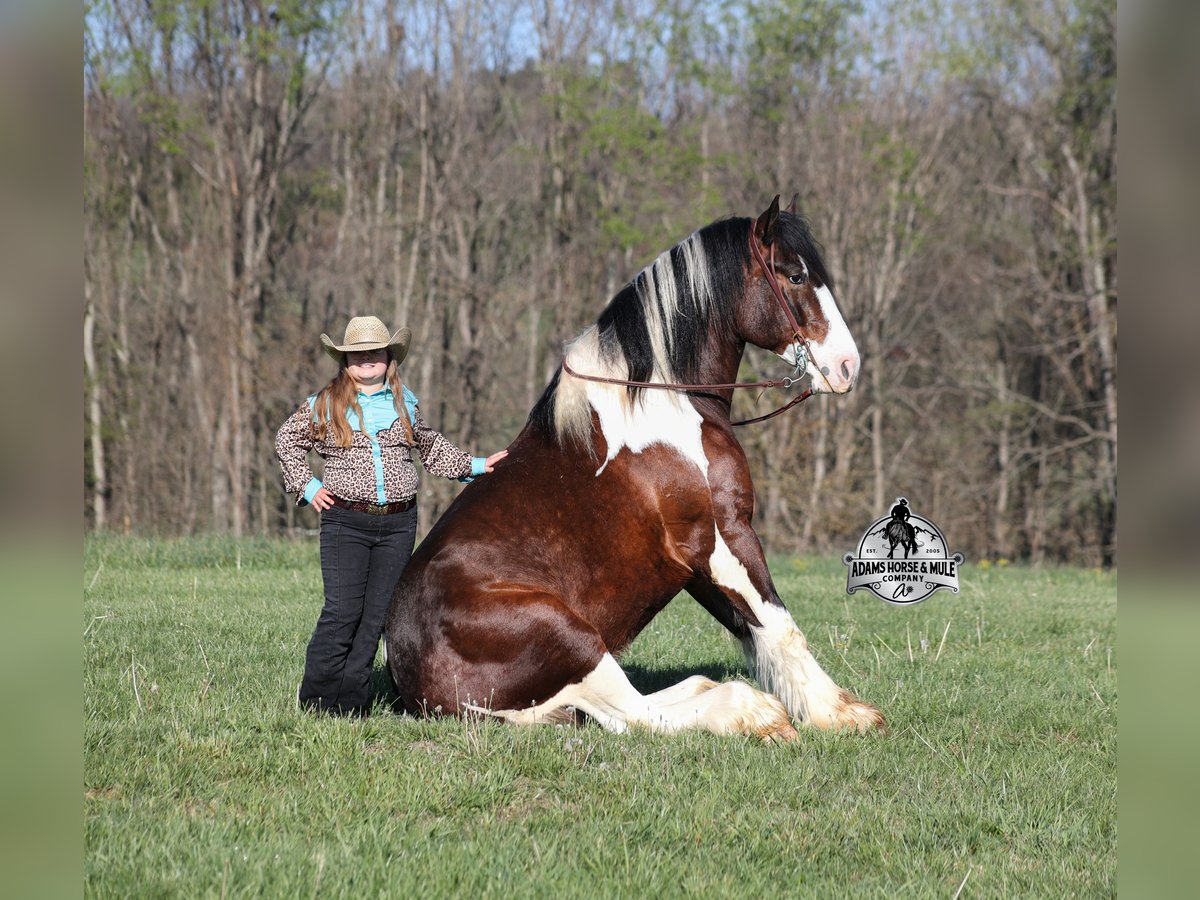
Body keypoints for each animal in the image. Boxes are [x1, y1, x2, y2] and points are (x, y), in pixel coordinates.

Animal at [385, 196, 885, 740]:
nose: (847, 366)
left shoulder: (698, 565)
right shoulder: (726, 537)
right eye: (794, 276)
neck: (662, 405)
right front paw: (836, 712)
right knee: (636, 716)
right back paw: (749, 711)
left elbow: (755, 633)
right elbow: (780, 626)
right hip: (571, 635)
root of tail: (412, 683)